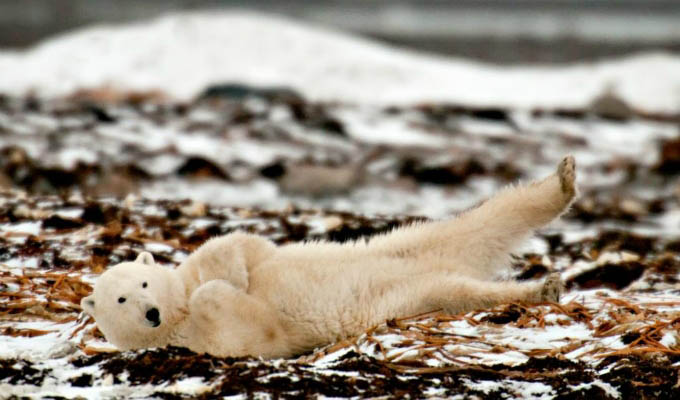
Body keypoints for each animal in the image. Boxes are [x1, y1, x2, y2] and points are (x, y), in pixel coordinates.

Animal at [79, 155, 580, 356]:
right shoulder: (194, 341)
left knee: (486, 220)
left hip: (408, 243)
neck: (178, 307)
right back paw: (542, 288)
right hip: (410, 296)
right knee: (460, 291)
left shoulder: (225, 261)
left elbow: (239, 247)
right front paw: (222, 292)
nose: (151, 313)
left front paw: (232, 278)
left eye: (143, 284)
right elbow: (249, 334)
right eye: (120, 300)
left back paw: (563, 180)